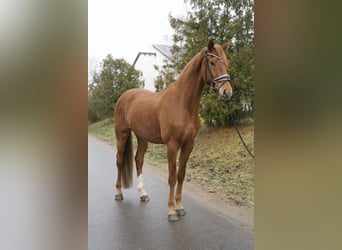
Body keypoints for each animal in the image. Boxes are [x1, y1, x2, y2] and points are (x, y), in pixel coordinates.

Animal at [115, 40, 232, 222]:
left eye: (226, 63)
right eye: (212, 62)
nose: (227, 92)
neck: (182, 103)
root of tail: (125, 96)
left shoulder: (188, 144)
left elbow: (181, 175)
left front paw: (180, 207)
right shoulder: (172, 145)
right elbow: (171, 177)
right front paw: (171, 211)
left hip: (142, 138)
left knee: (138, 160)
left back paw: (143, 194)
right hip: (122, 135)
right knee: (120, 161)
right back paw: (119, 193)